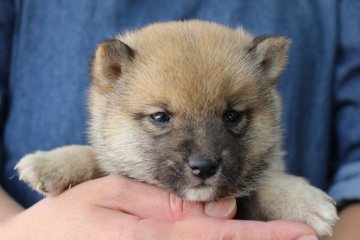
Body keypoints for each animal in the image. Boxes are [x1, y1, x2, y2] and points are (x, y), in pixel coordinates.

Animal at [16, 20, 338, 236]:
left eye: (232, 115)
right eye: (161, 117)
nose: (204, 167)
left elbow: (263, 183)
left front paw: (301, 200)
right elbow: (96, 157)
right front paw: (54, 162)